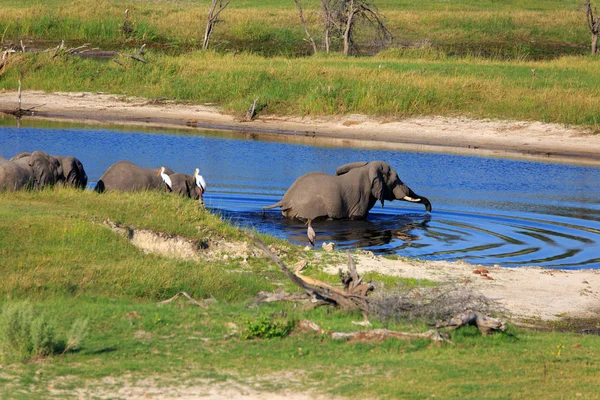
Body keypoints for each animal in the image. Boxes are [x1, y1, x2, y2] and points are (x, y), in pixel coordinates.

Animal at [262, 160, 432, 222]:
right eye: (396, 180)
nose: (429, 210)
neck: (367, 169)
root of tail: (286, 198)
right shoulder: (361, 200)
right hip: (307, 208)